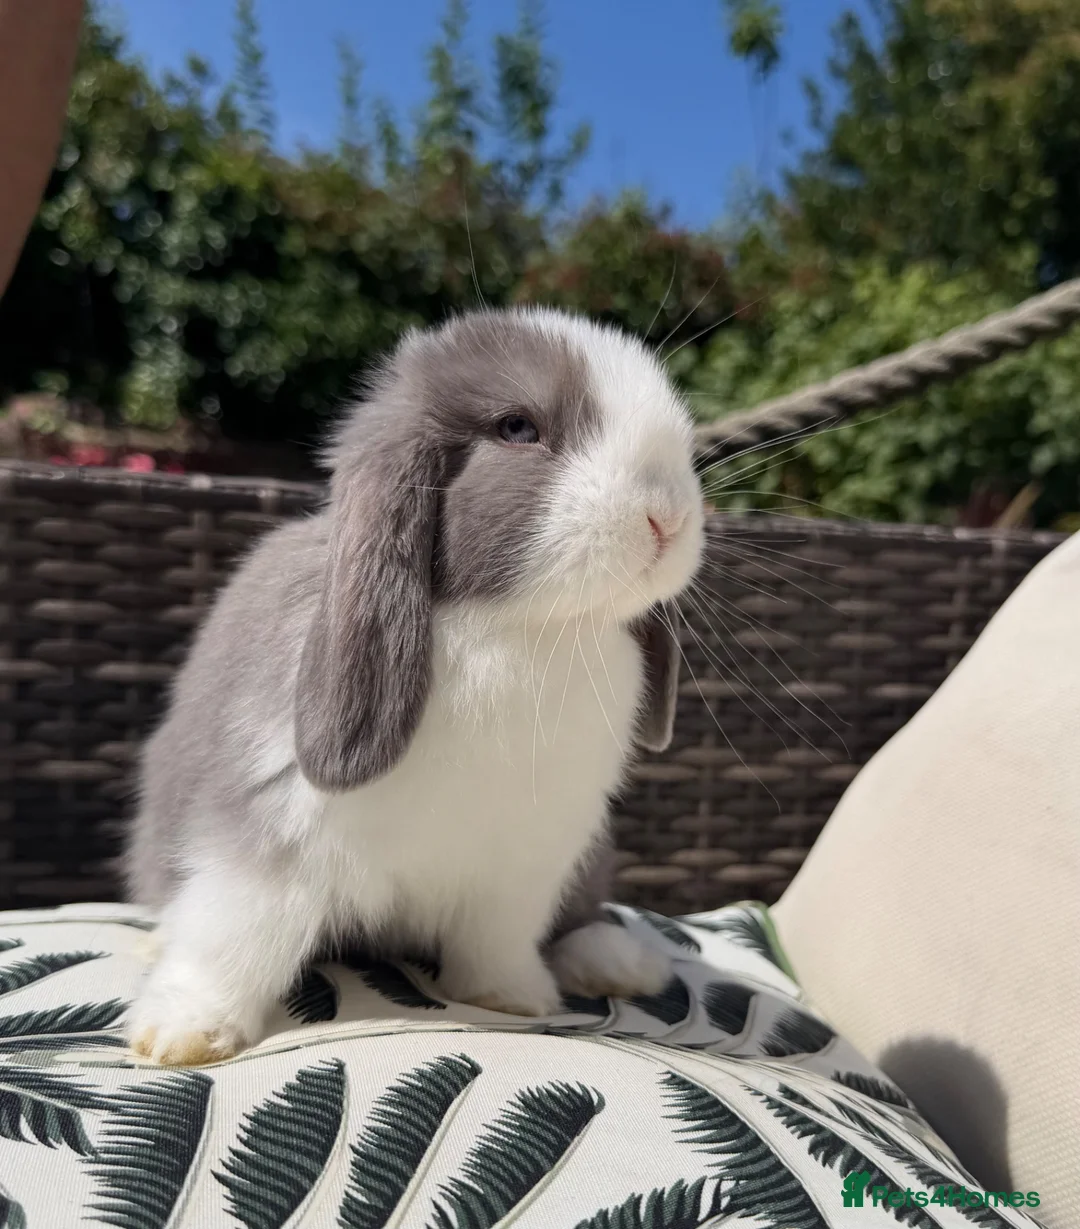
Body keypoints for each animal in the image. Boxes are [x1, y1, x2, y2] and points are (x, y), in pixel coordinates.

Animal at [125, 306, 706, 1065]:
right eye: (517, 428)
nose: (668, 515)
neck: (516, 627)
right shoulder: (269, 831)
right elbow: (236, 932)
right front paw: (183, 1033)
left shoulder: (522, 864)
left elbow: (497, 940)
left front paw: (510, 997)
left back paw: (621, 962)